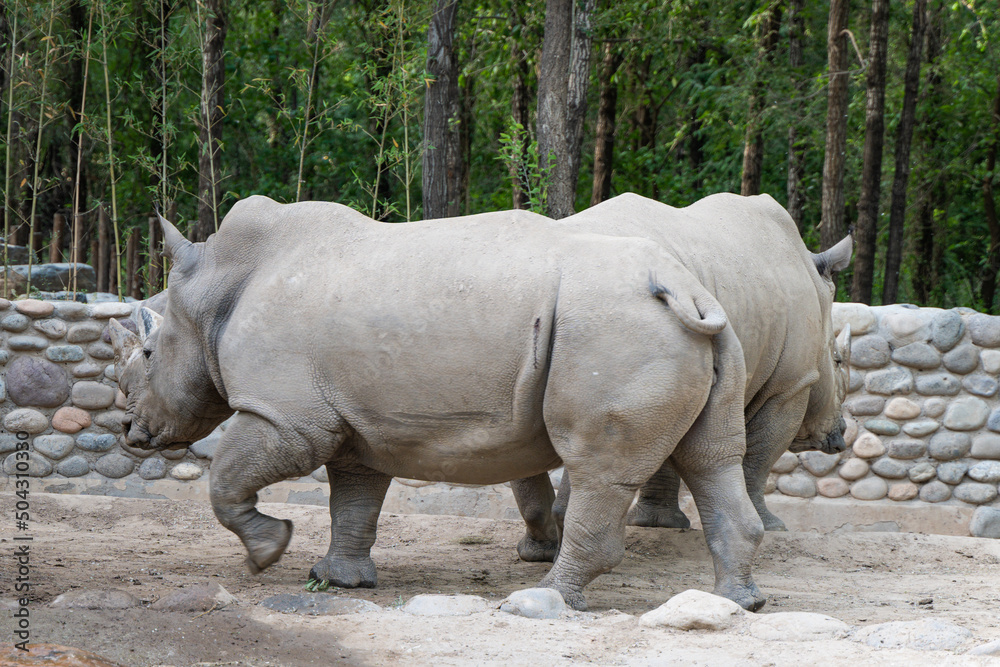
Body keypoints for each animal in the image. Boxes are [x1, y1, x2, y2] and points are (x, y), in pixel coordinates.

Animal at [109, 196, 776, 611]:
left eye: (148, 353)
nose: (131, 432)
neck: (215, 288)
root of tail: (686, 286)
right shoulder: (355, 421)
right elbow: (354, 497)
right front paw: (337, 580)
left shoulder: (287, 416)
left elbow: (226, 479)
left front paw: (268, 551)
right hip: (695, 329)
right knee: (712, 458)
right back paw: (739, 601)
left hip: (615, 329)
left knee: (598, 469)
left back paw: (543, 599)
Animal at [509, 192, 852, 559]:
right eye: (838, 360)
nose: (842, 434)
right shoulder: (790, 384)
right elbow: (760, 456)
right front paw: (773, 526)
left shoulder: (673, 379)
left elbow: (663, 456)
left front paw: (658, 524)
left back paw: (539, 552)